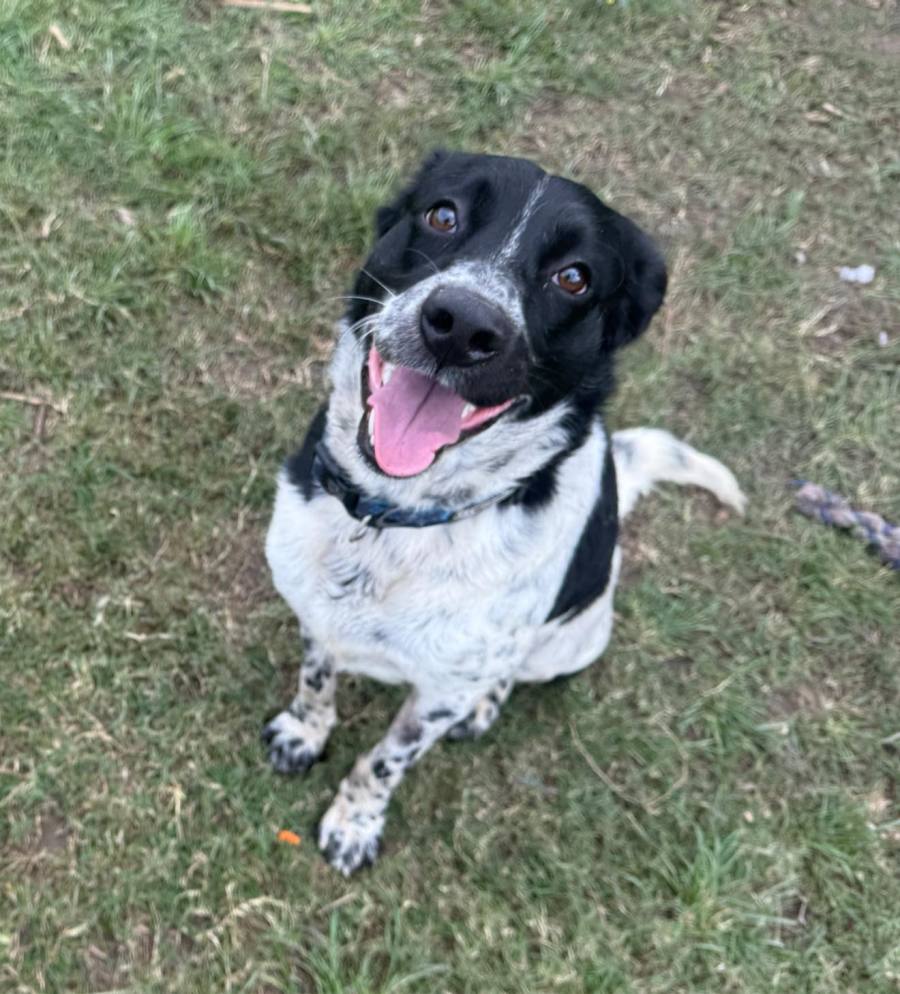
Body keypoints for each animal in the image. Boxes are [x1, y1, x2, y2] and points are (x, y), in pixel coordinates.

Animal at [262, 150, 745, 875]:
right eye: (443, 215)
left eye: (573, 277)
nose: (462, 325)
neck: (395, 520)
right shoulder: (316, 615)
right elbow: (316, 680)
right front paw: (304, 732)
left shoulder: (440, 693)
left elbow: (385, 760)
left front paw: (355, 822)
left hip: (573, 640)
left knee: (513, 673)